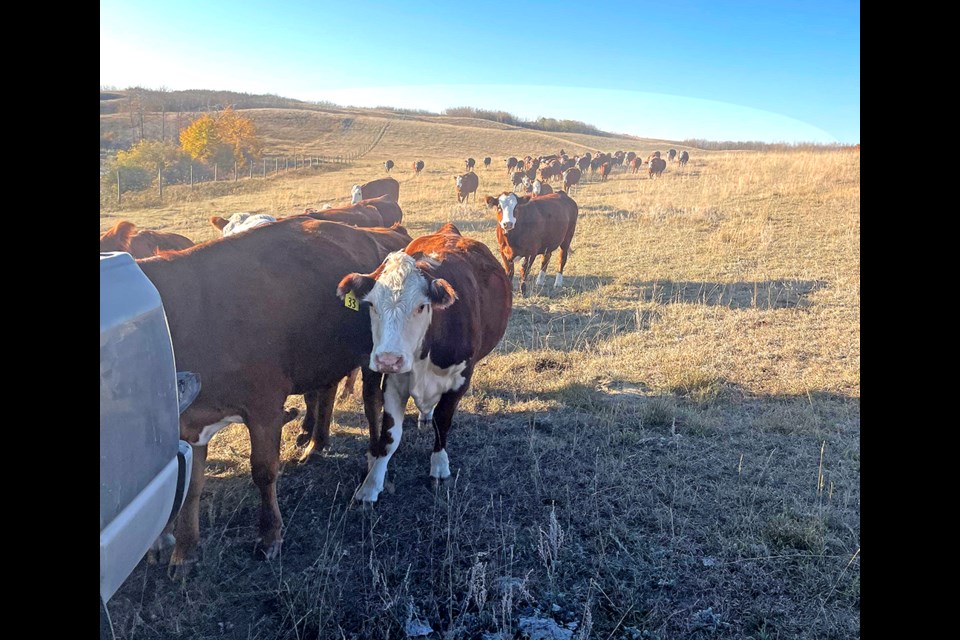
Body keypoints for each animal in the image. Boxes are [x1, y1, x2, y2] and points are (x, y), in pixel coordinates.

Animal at [336, 222, 510, 502]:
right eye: (371, 305)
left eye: (421, 306)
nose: (388, 359)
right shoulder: (394, 383)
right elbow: (389, 436)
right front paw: (371, 485)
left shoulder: (460, 379)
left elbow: (443, 421)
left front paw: (439, 467)